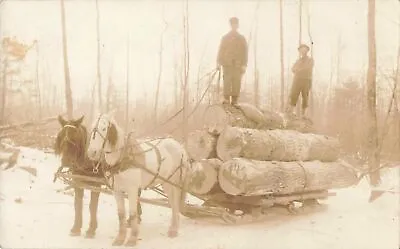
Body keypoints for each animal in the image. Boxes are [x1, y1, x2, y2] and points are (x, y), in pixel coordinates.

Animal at [86, 114, 190, 246]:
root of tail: (179, 146)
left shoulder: (132, 190)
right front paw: (120, 238)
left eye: (104, 129)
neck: (122, 158)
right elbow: (121, 214)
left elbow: (132, 212)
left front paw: (132, 239)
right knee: (172, 203)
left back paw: (173, 230)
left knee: (175, 204)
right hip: (166, 183)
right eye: (92, 127)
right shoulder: (117, 190)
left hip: (174, 183)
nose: (91, 152)